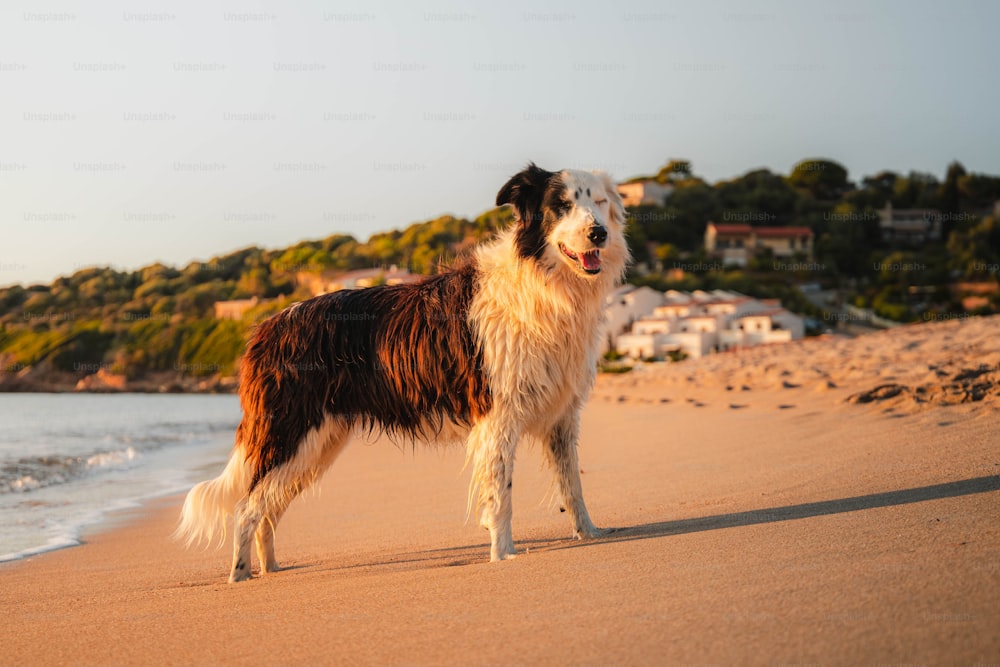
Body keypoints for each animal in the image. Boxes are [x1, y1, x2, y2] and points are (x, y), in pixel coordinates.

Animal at [176, 164, 628, 580]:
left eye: (599, 202)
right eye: (561, 205)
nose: (599, 234)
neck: (543, 282)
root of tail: (266, 328)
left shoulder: (561, 416)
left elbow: (574, 485)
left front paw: (589, 534)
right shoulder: (498, 418)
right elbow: (501, 496)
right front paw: (503, 556)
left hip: (316, 444)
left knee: (266, 510)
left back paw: (270, 569)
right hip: (290, 434)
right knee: (246, 508)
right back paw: (240, 576)